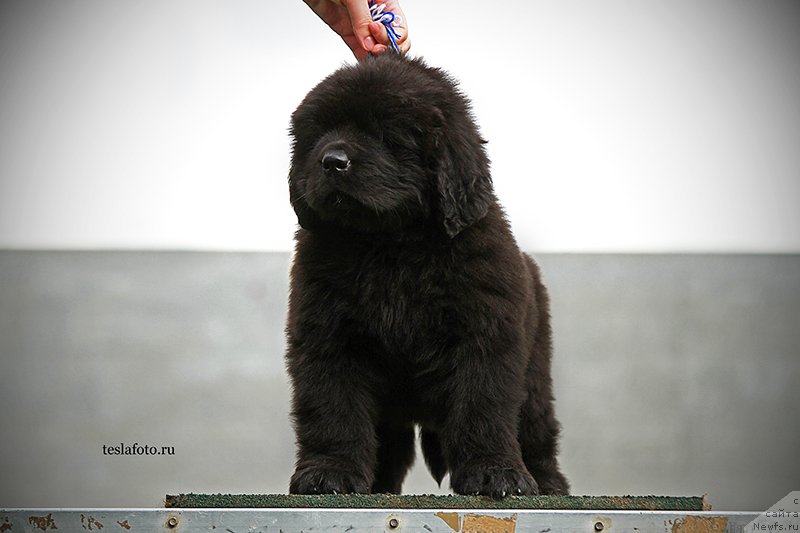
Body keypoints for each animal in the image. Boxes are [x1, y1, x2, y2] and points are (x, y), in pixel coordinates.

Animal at [284, 52, 564, 496]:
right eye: (321, 133)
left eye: (385, 134)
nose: (331, 161)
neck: (392, 244)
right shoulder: (327, 337)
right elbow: (332, 408)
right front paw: (329, 472)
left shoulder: (485, 336)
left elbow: (482, 406)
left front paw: (493, 473)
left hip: (535, 375)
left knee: (537, 432)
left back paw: (549, 484)